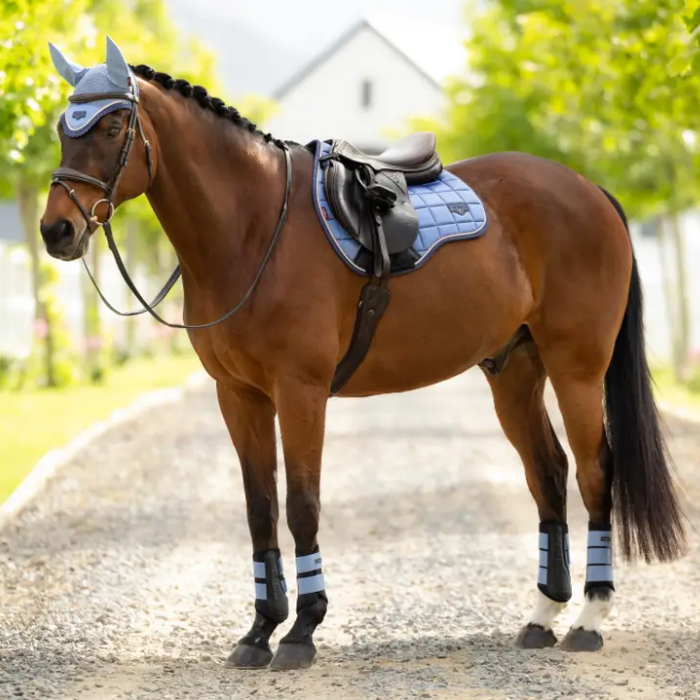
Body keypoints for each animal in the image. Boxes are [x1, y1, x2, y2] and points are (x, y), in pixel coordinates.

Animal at [39, 38, 686, 671]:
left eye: (112, 126)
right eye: (62, 128)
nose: (56, 230)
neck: (255, 227)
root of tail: (588, 189)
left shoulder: (300, 390)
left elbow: (302, 504)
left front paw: (302, 629)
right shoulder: (239, 395)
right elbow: (259, 507)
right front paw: (259, 630)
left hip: (577, 368)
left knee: (595, 471)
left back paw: (589, 619)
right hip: (513, 371)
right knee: (548, 473)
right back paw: (542, 615)